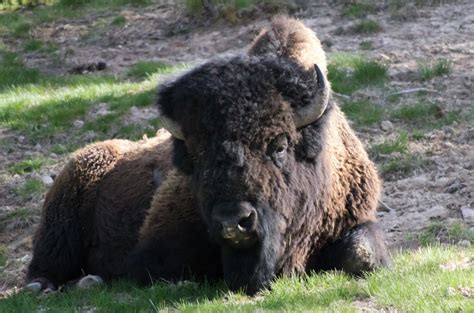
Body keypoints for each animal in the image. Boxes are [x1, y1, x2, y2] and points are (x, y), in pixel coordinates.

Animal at [25, 16, 388, 294]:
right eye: (197, 155)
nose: (233, 221)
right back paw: (53, 285)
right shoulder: (156, 248)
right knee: (45, 266)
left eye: (280, 145)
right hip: (60, 225)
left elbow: (361, 253)